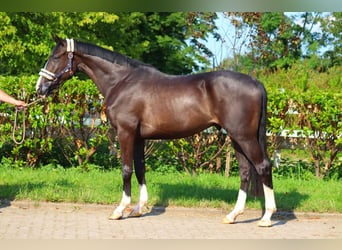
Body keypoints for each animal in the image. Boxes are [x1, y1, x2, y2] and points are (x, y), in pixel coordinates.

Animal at [36, 35, 276, 227]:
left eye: (55, 57)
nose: (40, 88)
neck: (121, 81)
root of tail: (256, 82)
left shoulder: (125, 133)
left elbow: (126, 169)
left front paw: (119, 210)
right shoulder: (139, 138)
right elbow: (140, 169)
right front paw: (138, 208)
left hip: (244, 137)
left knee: (263, 166)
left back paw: (266, 217)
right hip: (236, 138)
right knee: (245, 172)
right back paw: (233, 215)